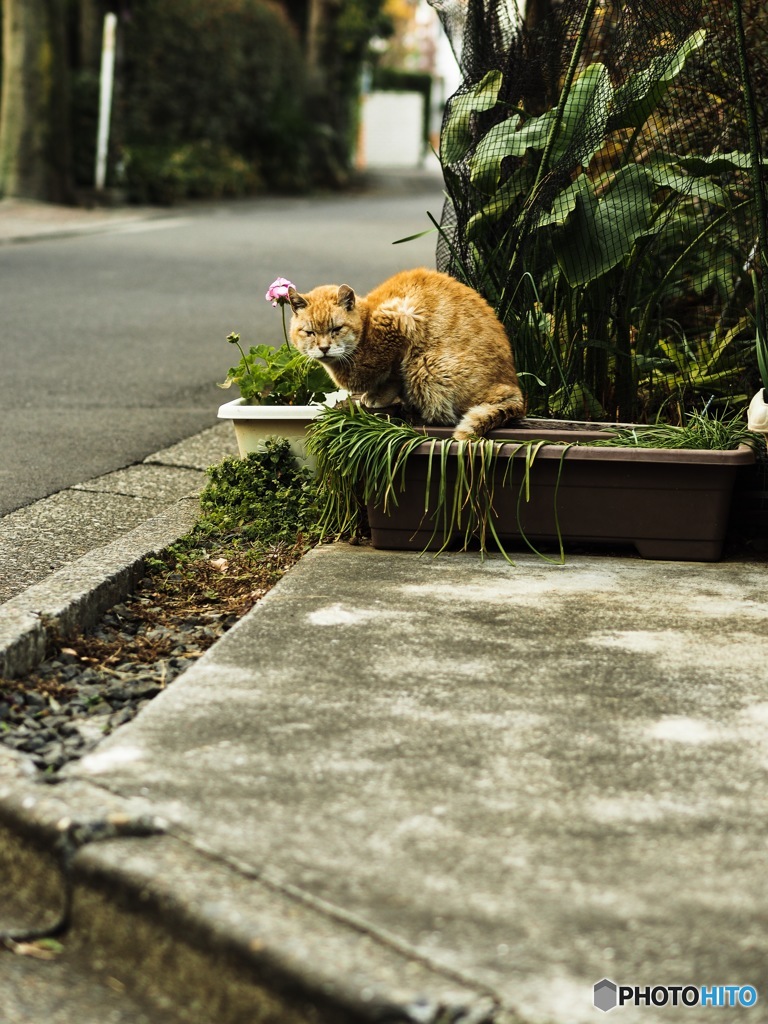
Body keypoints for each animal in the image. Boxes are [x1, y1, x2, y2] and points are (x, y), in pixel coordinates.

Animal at [286, 266, 528, 438]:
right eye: (310, 332)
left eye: (336, 329)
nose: (324, 348)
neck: (366, 328)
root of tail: (514, 390)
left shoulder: (404, 320)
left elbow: (392, 376)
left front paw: (378, 396)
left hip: (427, 368)